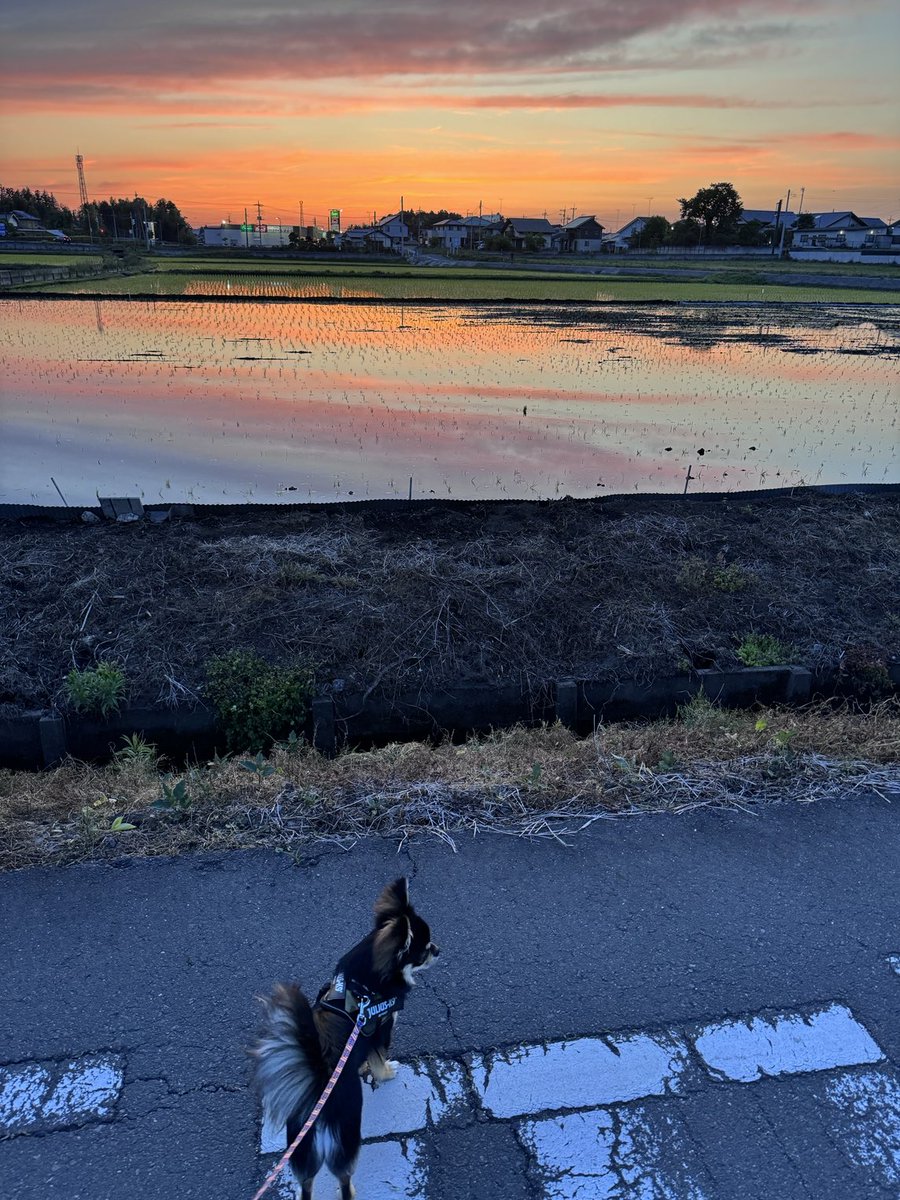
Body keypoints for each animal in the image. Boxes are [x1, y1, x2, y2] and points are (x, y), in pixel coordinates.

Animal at [252, 878, 439, 1195]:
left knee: (307, 1184)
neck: (364, 986)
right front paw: (387, 1073)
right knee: (343, 1179)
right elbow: (380, 1061)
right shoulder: (381, 1031)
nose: (439, 949)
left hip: (302, 1150)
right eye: (424, 950)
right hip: (347, 1137)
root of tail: (316, 1086)